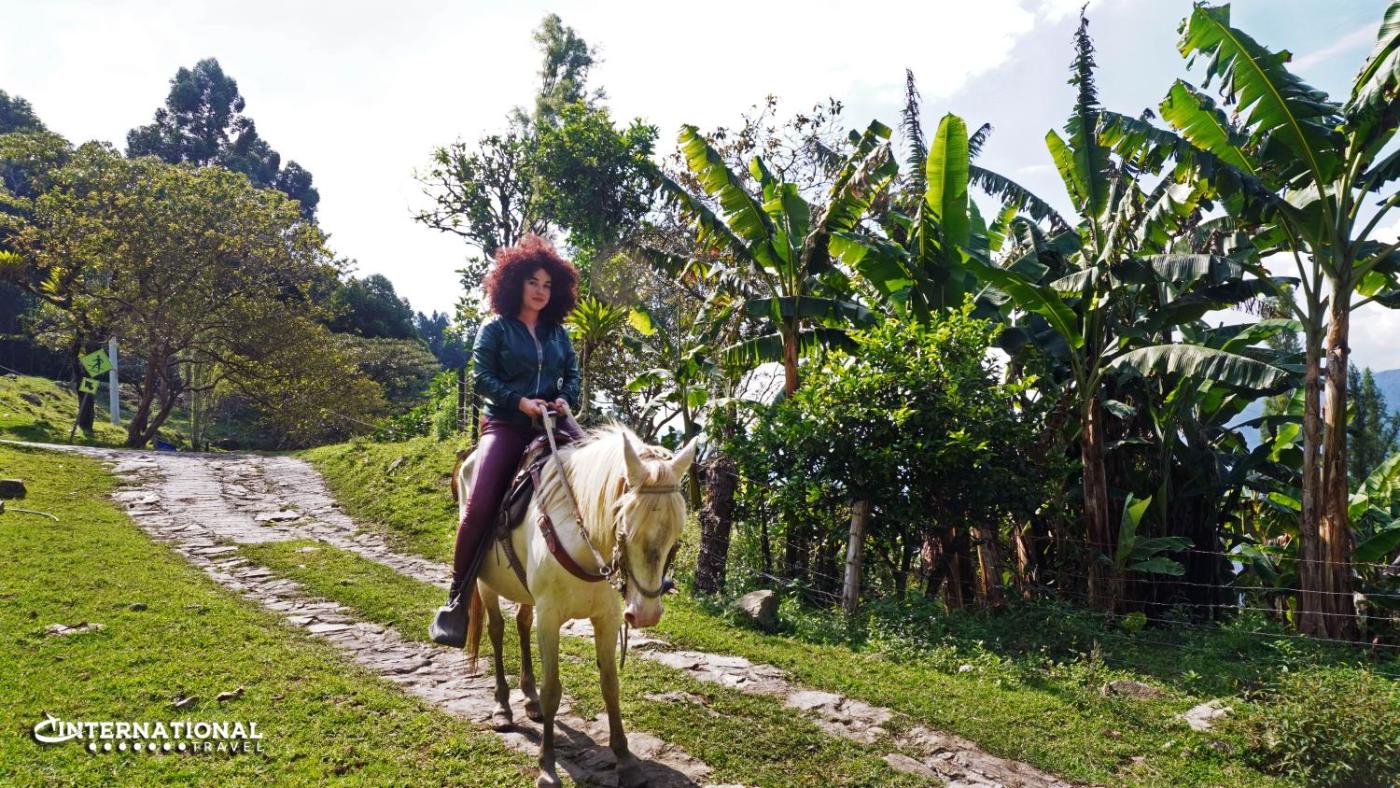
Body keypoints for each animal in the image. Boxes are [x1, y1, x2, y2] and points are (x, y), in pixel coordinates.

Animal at [453, 423, 696, 788]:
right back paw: (503, 708)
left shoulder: (607, 617)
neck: (585, 541)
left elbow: (610, 685)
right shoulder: (550, 616)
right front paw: (547, 767)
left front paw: (625, 760)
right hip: (486, 583)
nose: (646, 614)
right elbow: (552, 689)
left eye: (676, 536)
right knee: (496, 631)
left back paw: (529, 700)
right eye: (625, 527)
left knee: (522, 623)